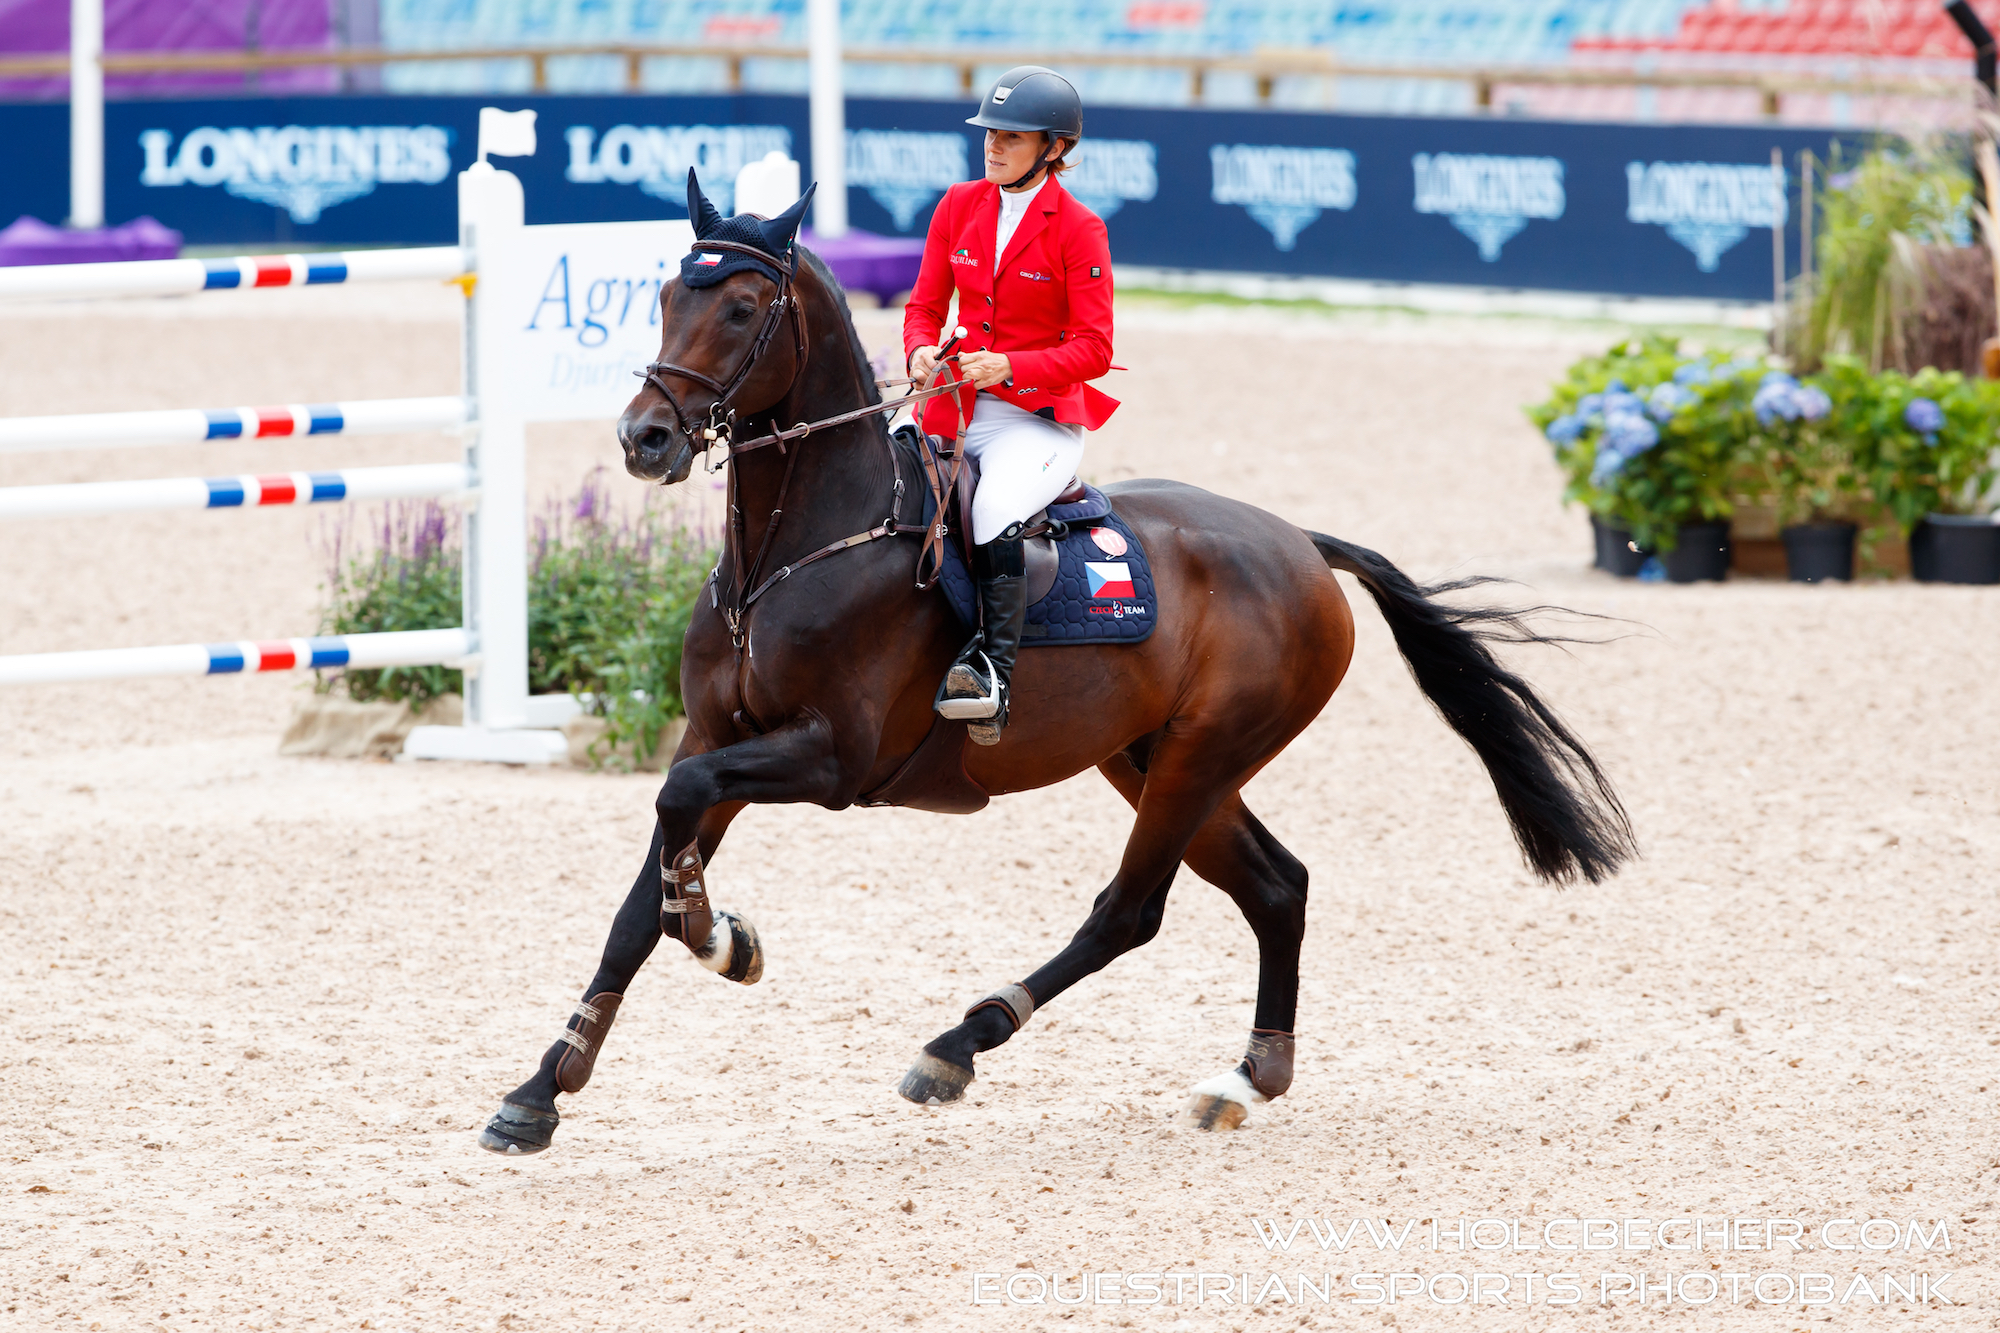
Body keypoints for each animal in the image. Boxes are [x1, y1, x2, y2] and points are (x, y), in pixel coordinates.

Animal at [476, 182, 1632, 1144]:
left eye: (743, 308)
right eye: (669, 292)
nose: (645, 439)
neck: (798, 548)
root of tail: (1301, 545)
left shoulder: (828, 759)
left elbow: (676, 821)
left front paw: (719, 935)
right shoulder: (717, 734)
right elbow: (641, 891)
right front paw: (541, 1089)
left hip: (1199, 755)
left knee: (1131, 910)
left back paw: (958, 1045)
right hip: (1154, 756)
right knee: (1276, 885)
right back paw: (1244, 1076)